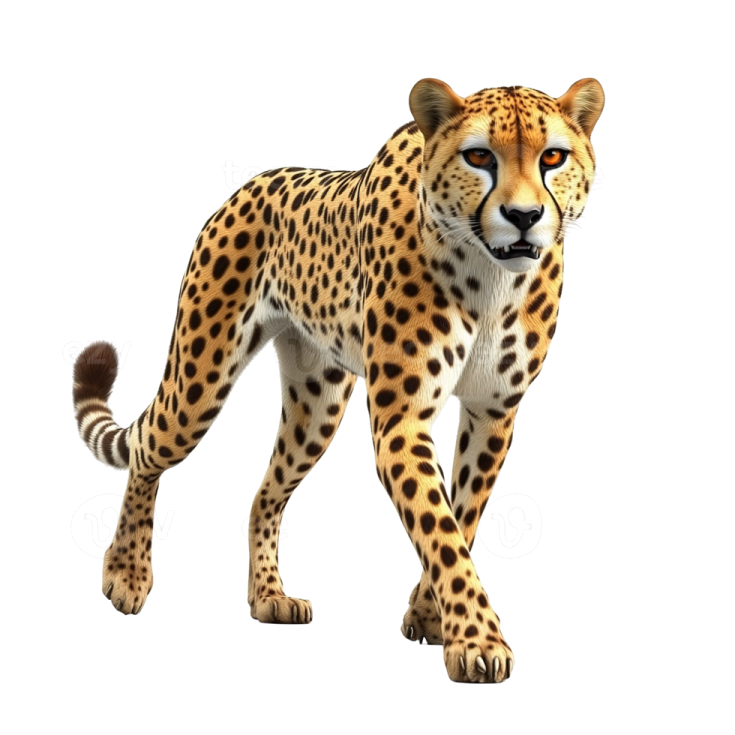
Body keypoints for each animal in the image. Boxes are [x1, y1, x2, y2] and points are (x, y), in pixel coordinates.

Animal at [71, 77, 604, 683]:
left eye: (553, 157)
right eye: (479, 157)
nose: (523, 215)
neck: (491, 276)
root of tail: (255, 182)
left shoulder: (494, 412)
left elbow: (463, 518)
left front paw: (430, 618)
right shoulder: (402, 422)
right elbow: (440, 529)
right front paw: (477, 640)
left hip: (317, 404)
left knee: (263, 497)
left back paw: (268, 597)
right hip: (201, 379)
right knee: (148, 455)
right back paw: (126, 574)